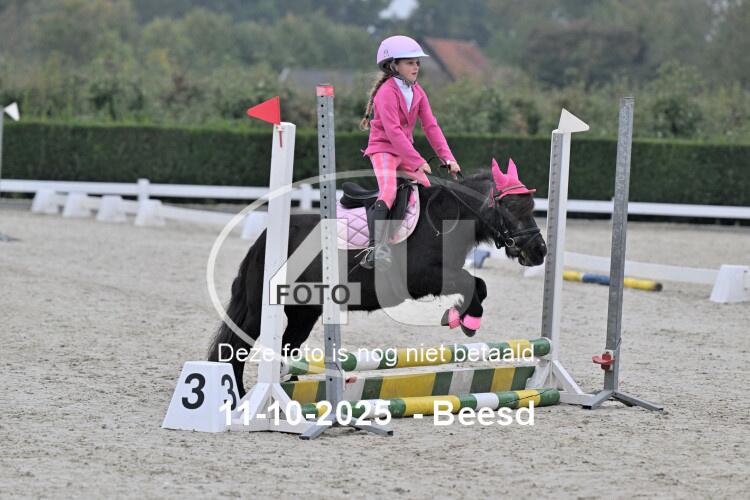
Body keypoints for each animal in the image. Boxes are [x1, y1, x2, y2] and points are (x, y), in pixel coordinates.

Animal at [208, 160, 547, 396]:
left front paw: (461, 317)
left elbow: (479, 285)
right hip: (259, 309)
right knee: (236, 346)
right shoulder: (422, 278)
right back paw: (236, 398)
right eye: (511, 207)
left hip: (304, 312)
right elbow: (471, 283)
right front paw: (466, 320)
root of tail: (263, 239)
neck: (444, 218)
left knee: (286, 347)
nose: (539, 251)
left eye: (532, 206)